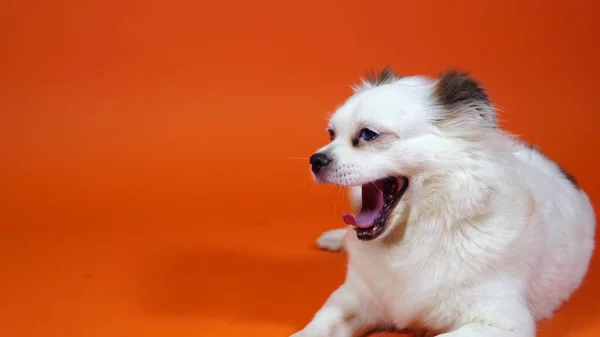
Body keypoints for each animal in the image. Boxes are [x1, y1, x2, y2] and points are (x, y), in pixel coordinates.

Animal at [292, 69, 596, 336]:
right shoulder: (352, 299)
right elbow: (318, 325)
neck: (415, 234)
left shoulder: (502, 323)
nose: (315, 160)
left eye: (368, 134)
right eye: (331, 134)